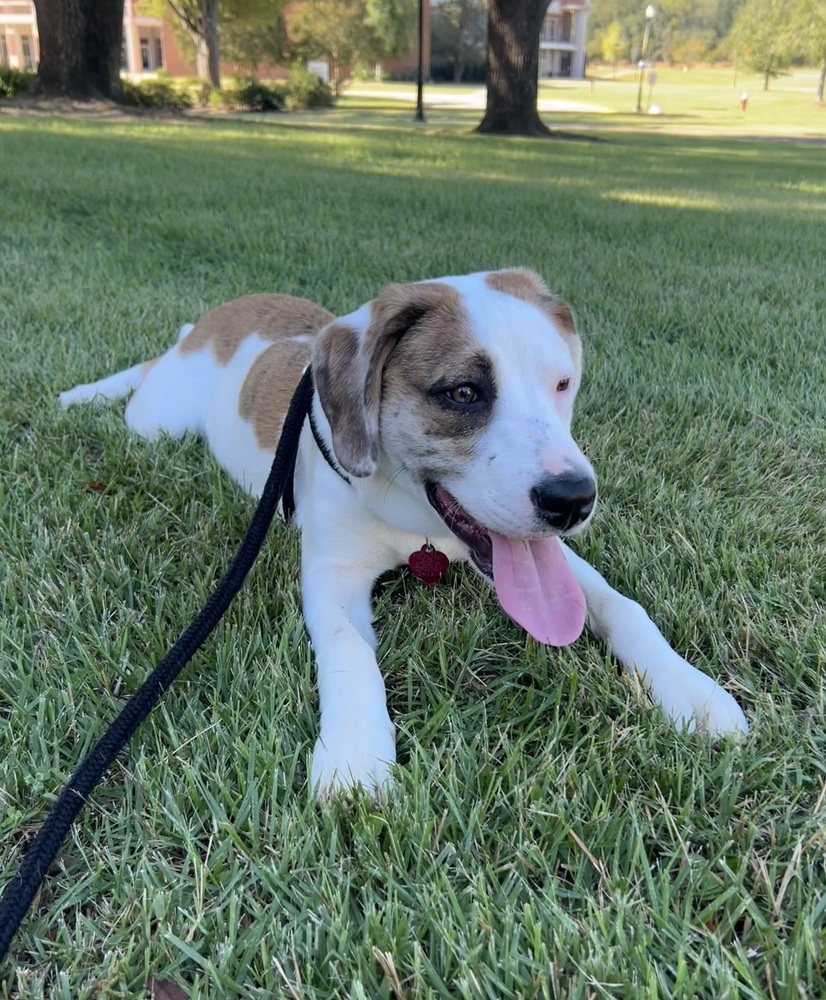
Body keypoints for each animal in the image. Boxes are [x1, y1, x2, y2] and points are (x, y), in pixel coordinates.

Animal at [61, 270, 748, 792]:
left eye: (562, 383)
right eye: (464, 393)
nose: (574, 499)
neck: (415, 522)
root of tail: (228, 310)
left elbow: (621, 605)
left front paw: (691, 691)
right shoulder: (332, 576)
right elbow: (349, 650)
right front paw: (354, 755)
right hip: (158, 419)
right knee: (149, 370)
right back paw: (82, 394)